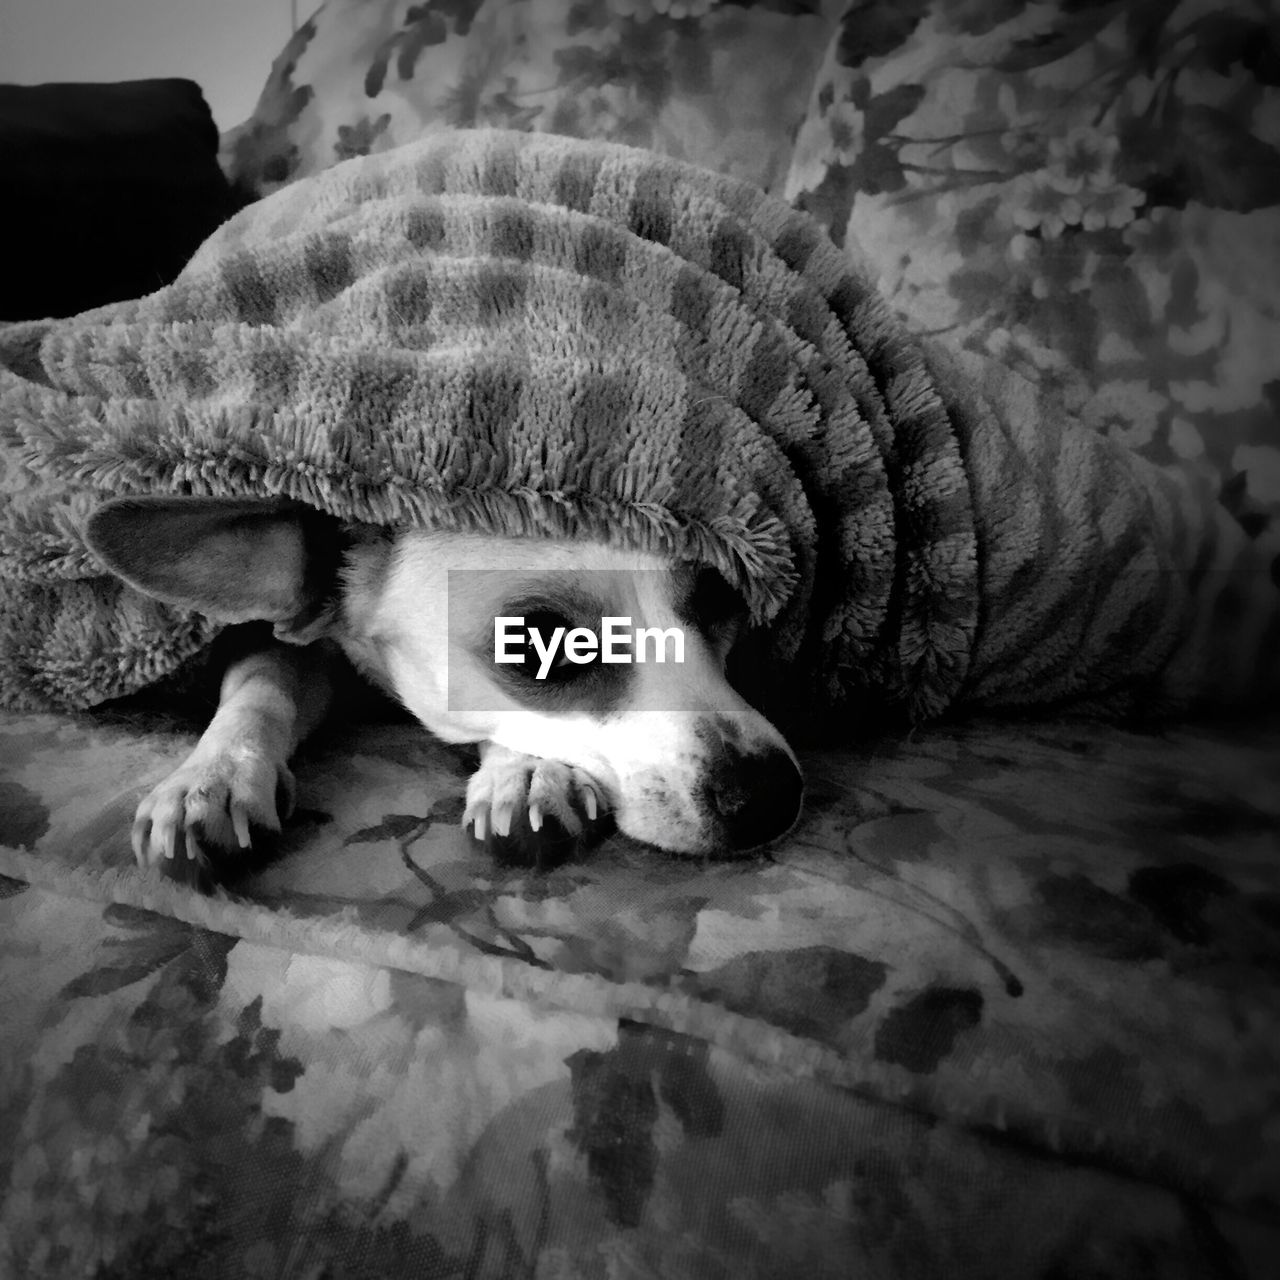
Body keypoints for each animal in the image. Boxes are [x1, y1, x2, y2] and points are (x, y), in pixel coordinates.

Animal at [85, 488, 803, 870]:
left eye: (720, 594)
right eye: (538, 643)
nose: (770, 793)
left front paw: (528, 771)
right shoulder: (295, 645)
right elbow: (260, 686)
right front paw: (211, 778)